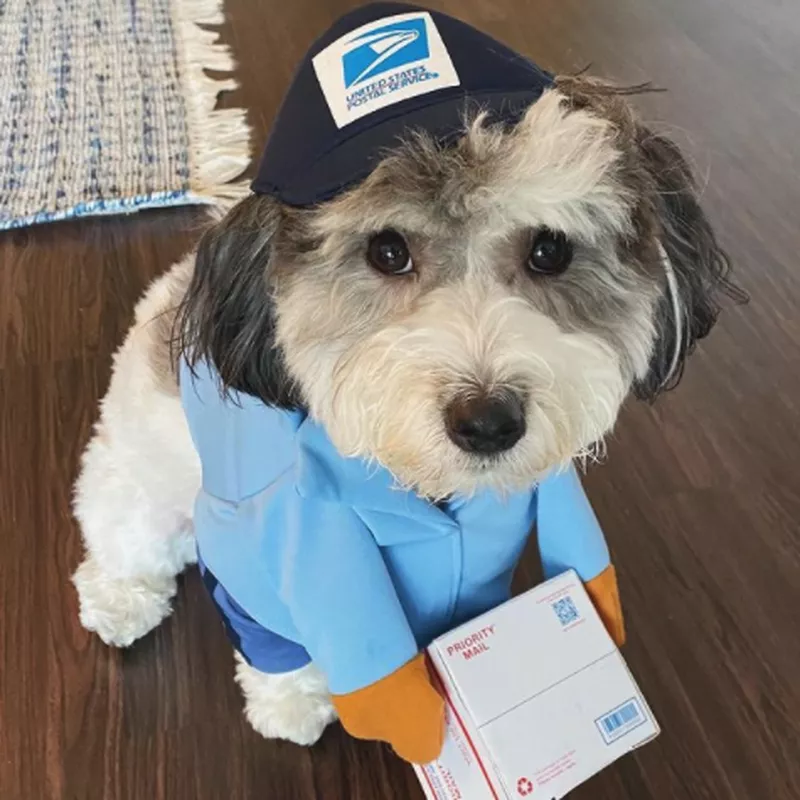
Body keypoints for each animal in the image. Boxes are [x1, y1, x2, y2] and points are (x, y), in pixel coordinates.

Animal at [72, 3, 736, 760]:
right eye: (387, 251)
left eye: (550, 249)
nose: (488, 422)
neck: (419, 491)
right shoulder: (258, 546)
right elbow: (277, 637)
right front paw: (293, 702)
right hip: (135, 475)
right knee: (125, 536)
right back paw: (122, 596)